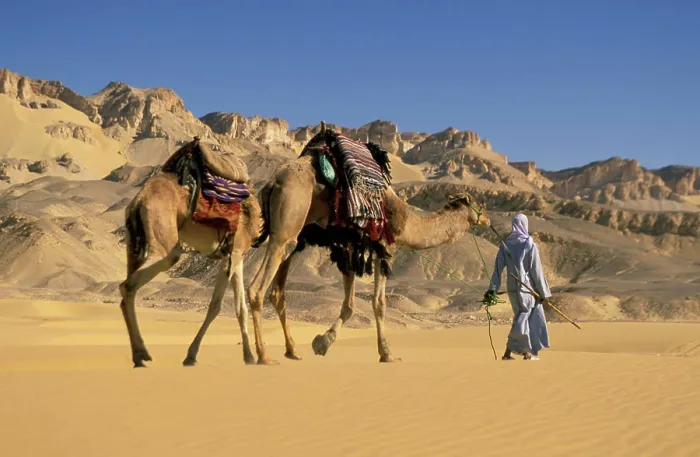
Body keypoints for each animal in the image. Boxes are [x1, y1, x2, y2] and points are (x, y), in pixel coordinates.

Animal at [119, 138, 261, 368]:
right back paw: (142, 354)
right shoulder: (233, 253)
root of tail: (139, 201)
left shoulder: (236, 256)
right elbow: (215, 306)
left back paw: (139, 355)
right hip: (165, 244)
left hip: (133, 244)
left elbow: (241, 308)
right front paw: (191, 356)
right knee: (128, 285)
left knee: (128, 287)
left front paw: (248, 357)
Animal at [246, 124, 491, 364]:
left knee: (278, 291)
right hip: (287, 221)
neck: (407, 220)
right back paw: (263, 356)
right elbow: (379, 303)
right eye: (479, 205)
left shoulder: (348, 246)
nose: (487, 220)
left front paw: (322, 342)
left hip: (295, 233)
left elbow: (349, 304)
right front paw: (387, 354)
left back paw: (292, 351)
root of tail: (272, 182)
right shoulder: (385, 246)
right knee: (257, 288)